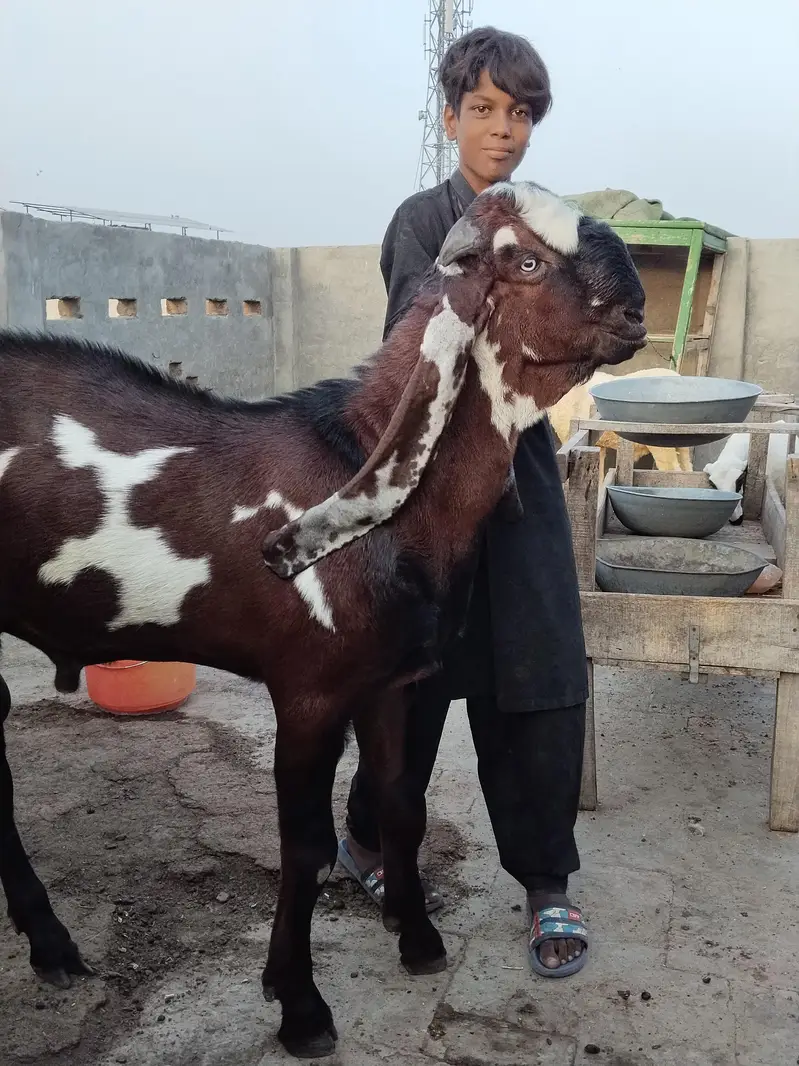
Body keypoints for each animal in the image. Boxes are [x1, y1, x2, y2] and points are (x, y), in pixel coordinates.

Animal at [0, 181, 646, 1059]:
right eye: (526, 262)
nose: (637, 311)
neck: (358, 467)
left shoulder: (390, 682)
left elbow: (400, 803)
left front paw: (418, 939)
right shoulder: (306, 692)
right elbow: (303, 847)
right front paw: (300, 1006)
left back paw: (51, 946)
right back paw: (55, 945)